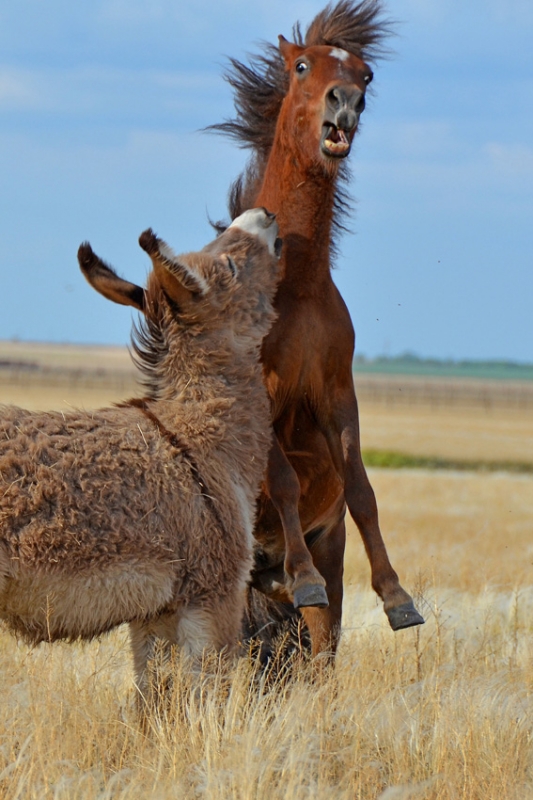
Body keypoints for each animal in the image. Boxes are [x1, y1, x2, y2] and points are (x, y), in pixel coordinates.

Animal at [212, 0, 424, 656]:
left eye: (367, 73)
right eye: (302, 65)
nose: (345, 102)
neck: (297, 285)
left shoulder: (336, 392)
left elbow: (362, 489)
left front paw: (398, 598)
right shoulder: (261, 390)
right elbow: (281, 477)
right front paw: (300, 574)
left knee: (318, 649)